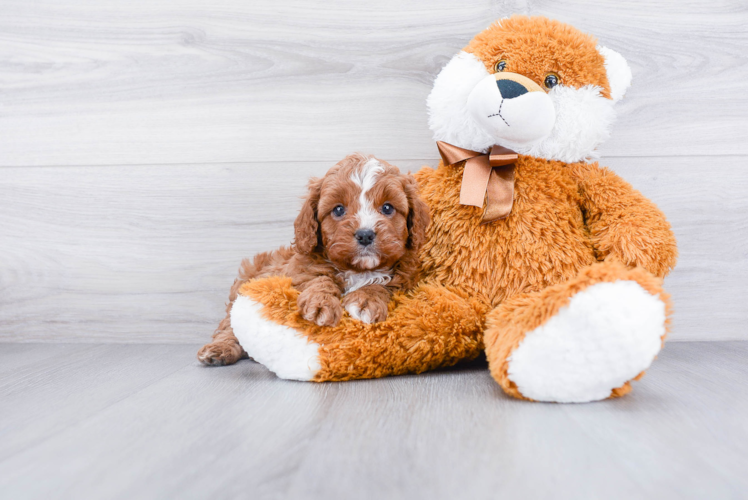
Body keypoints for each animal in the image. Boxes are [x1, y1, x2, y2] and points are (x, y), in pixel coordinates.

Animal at [199, 153, 430, 368]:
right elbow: (318, 278)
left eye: (388, 208)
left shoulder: (405, 281)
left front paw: (365, 300)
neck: (358, 270)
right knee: (229, 326)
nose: (365, 235)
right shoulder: (299, 270)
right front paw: (320, 303)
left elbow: (382, 285)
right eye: (338, 209)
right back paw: (218, 349)